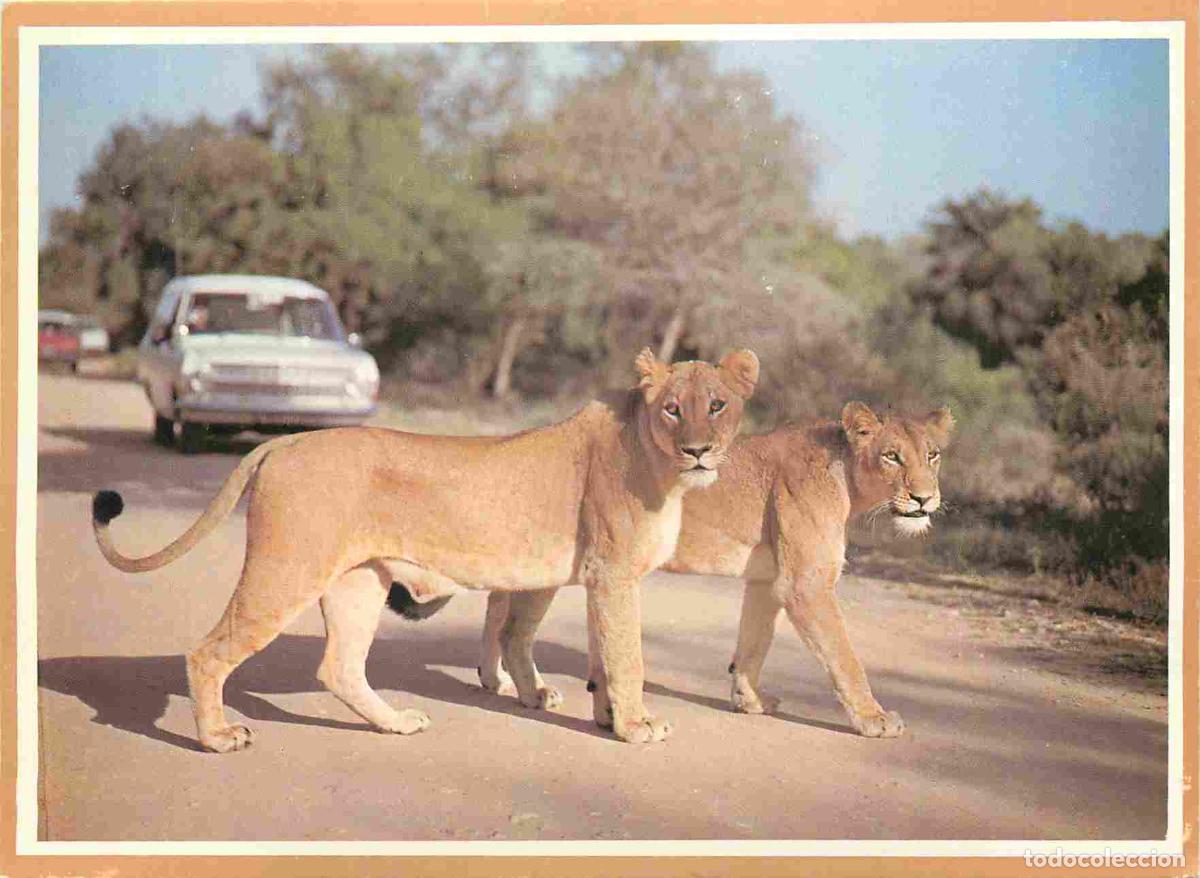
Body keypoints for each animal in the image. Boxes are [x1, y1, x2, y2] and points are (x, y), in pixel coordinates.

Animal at [91, 348, 759, 752]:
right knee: (208, 654)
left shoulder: (591, 576)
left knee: (339, 667)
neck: (663, 470)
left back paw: (395, 722)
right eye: (672, 409)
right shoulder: (614, 573)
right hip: (286, 569)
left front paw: (604, 716)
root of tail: (286, 442)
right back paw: (218, 737)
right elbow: (626, 657)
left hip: (358, 582)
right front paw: (638, 726)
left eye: (716, 405)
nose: (698, 450)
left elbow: (594, 653)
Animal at [467, 401, 952, 738]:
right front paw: (874, 718)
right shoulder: (805, 584)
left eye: (932, 455)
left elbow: (754, 643)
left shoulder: (766, 579)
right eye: (892, 456)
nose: (925, 498)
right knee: (512, 626)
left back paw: (496, 680)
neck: (847, 478)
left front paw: (750, 700)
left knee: (497, 601)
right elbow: (844, 658)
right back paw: (530, 690)